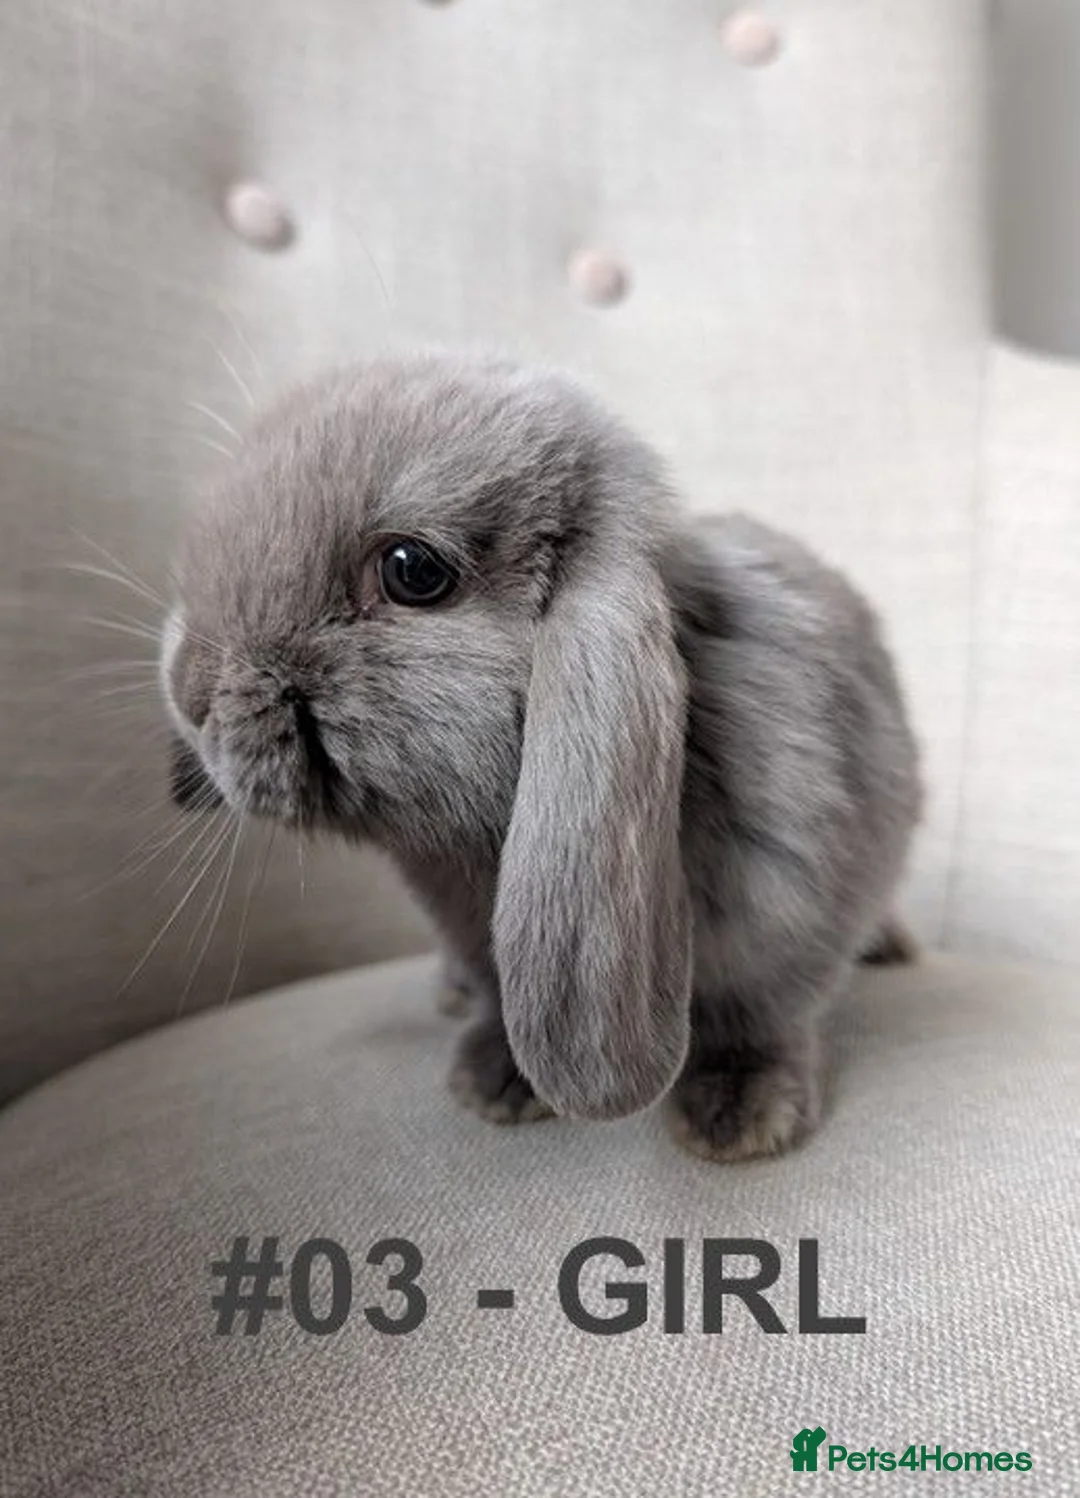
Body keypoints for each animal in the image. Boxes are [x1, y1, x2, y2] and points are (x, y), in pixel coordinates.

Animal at [161, 350, 923, 1161]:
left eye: (411, 570)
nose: (188, 693)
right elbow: (500, 996)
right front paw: (494, 1083)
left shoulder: (790, 914)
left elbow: (757, 1015)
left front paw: (738, 1119)